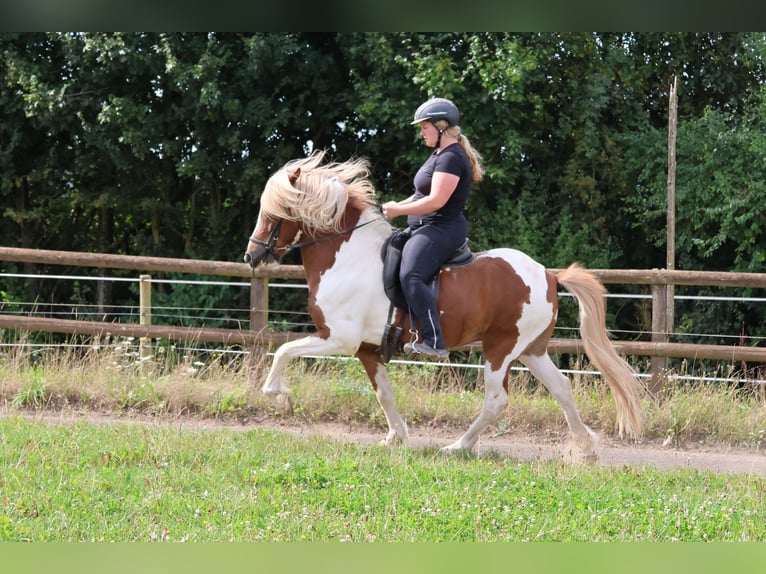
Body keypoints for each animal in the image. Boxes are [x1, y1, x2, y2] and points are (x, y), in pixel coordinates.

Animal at [243, 151, 644, 462]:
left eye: (274, 212)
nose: (251, 256)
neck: (348, 256)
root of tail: (547, 274)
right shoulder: (367, 349)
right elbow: (383, 393)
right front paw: (396, 437)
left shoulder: (338, 339)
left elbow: (283, 351)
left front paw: (281, 397)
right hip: (531, 349)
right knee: (561, 387)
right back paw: (586, 448)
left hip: (501, 349)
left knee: (496, 399)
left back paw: (458, 447)